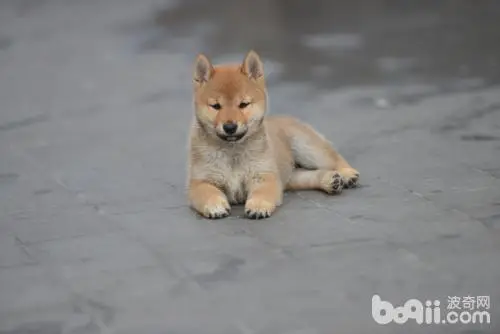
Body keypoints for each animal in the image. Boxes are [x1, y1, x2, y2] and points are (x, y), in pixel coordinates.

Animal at [186, 50, 358, 219]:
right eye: (216, 106)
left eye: (243, 104)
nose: (229, 127)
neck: (232, 152)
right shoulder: (201, 181)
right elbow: (208, 193)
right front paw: (215, 206)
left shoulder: (265, 175)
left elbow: (262, 193)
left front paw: (258, 206)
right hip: (289, 175)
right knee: (307, 175)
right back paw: (330, 180)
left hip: (307, 148)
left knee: (333, 158)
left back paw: (348, 174)